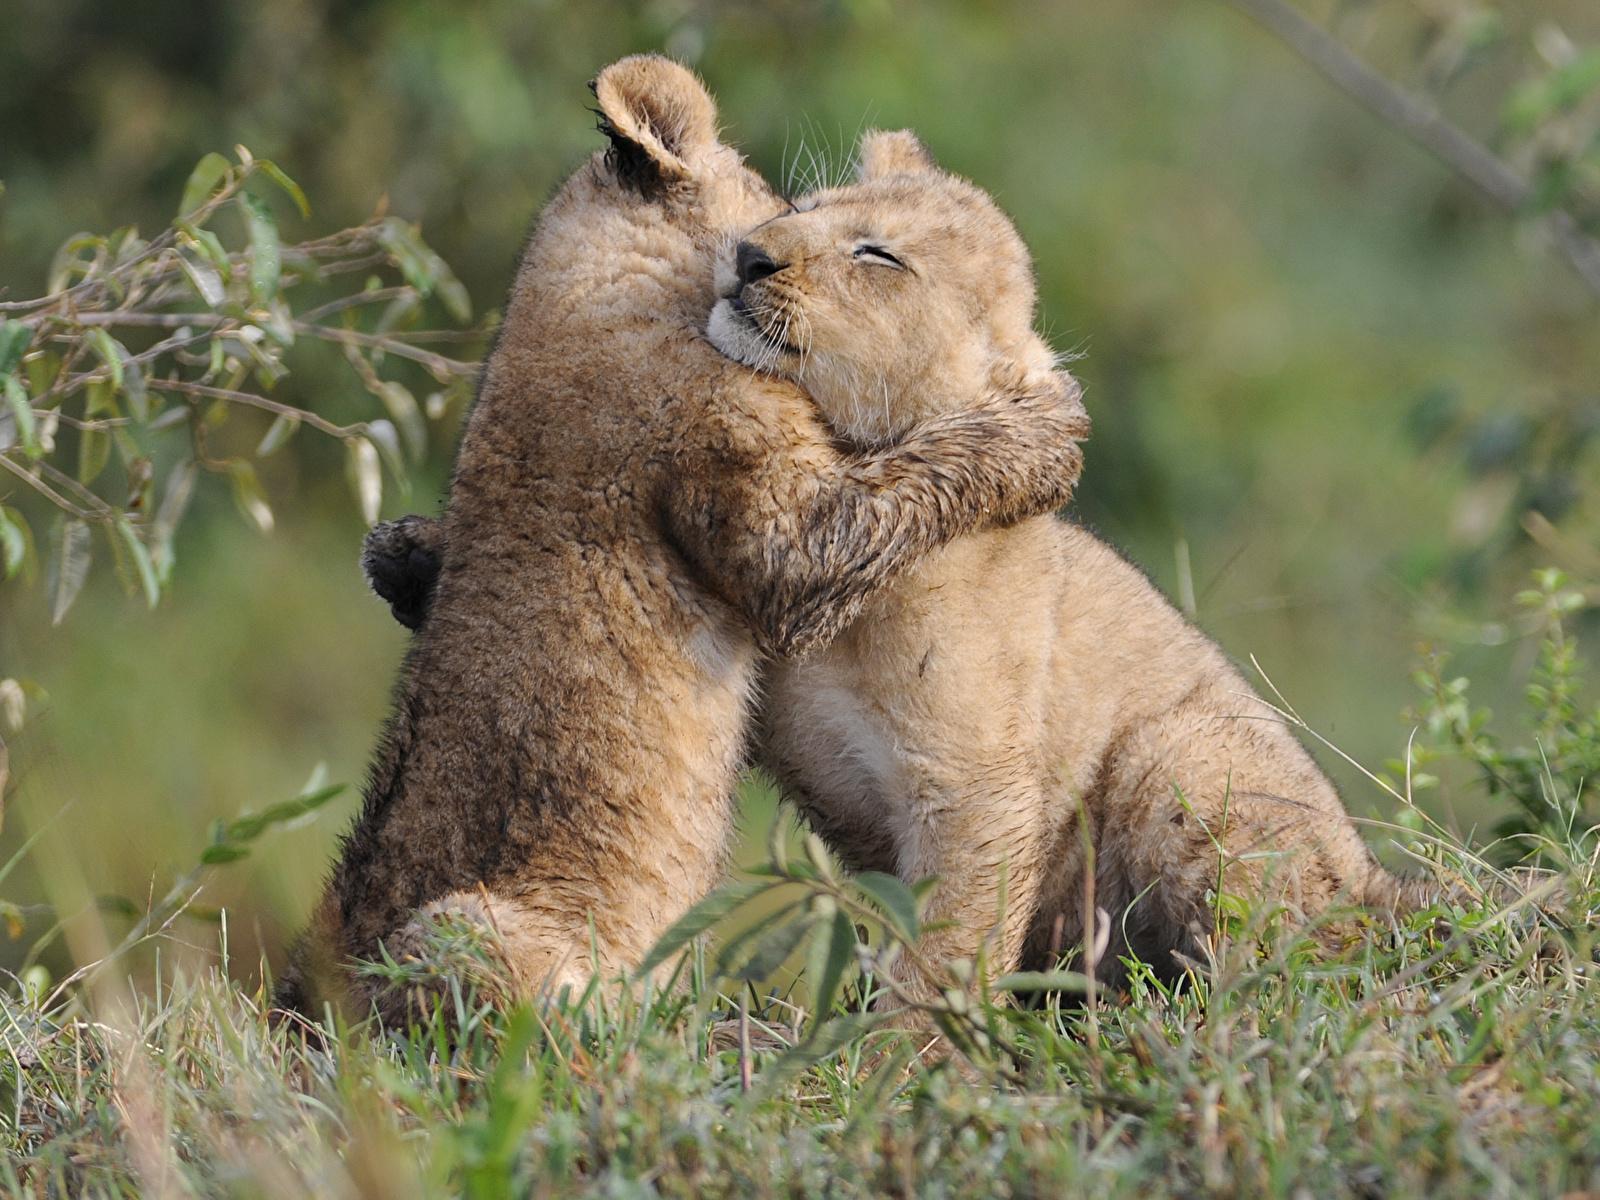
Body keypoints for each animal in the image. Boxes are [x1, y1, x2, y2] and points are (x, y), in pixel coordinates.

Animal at [276, 59, 1090, 1022]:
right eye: (790, 203)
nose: (758, 256)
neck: (578, 281)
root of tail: (305, 1016)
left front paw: (405, 554)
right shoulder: (780, 524)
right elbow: (918, 477)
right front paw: (1049, 428)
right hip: (455, 931)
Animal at [366, 127, 1435, 1018]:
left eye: (879, 255)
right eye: (804, 207)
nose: (749, 255)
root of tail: (1378, 879)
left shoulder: (973, 782)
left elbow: (949, 944)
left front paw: (900, 1058)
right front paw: (410, 553)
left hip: (1182, 757)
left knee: (1287, 965)